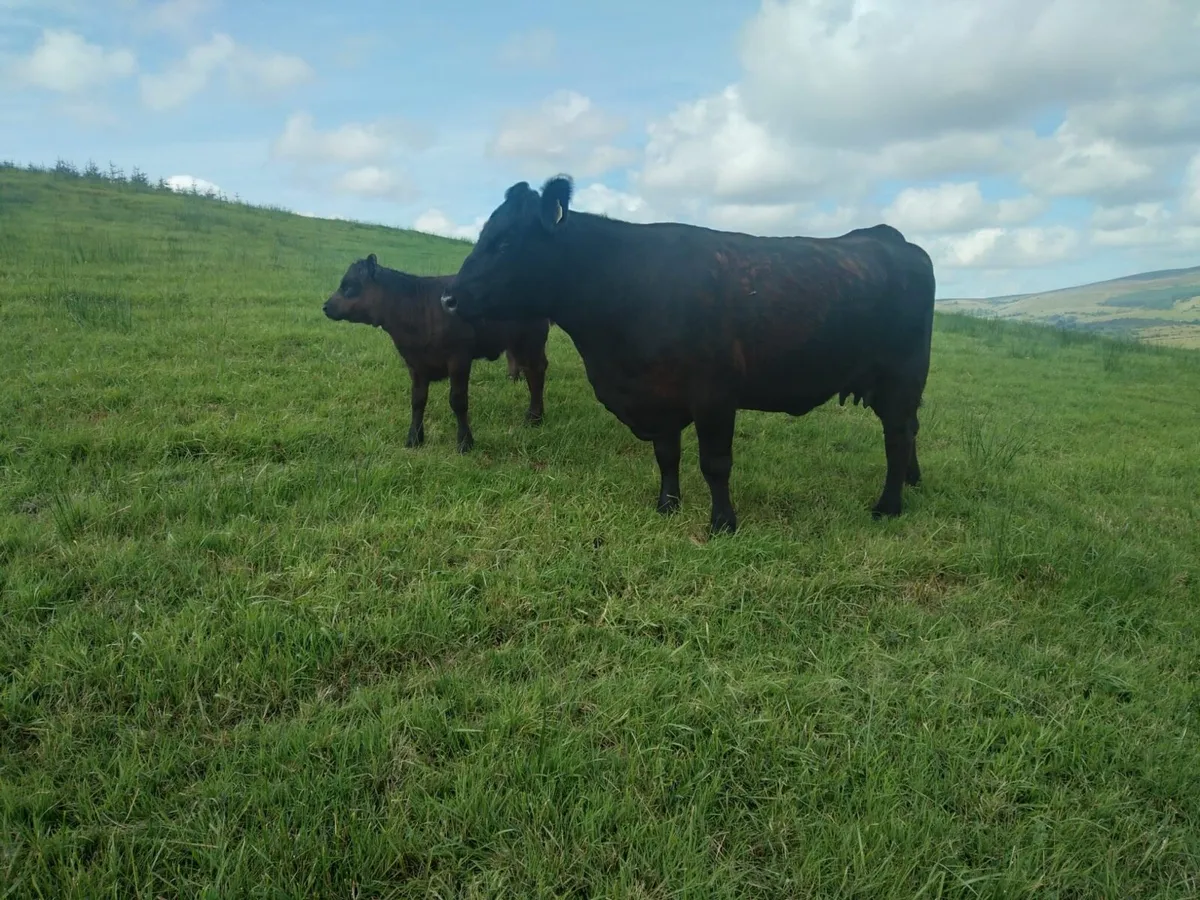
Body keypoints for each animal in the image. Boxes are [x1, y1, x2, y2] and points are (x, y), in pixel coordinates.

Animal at [323, 253, 550, 453]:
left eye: (349, 286)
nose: (325, 306)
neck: (417, 309)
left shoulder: (459, 359)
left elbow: (458, 401)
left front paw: (465, 442)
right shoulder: (415, 364)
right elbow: (417, 401)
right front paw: (414, 438)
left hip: (531, 341)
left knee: (536, 372)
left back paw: (534, 417)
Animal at [438, 175, 936, 534]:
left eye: (505, 242)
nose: (448, 298)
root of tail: (890, 237)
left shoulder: (714, 396)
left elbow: (714, 464)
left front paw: (722, 524)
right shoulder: (659, 397)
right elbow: (667, 455)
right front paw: (667, 505)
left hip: (901, 377)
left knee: (897, 436)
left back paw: (888, 506)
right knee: (910, 431)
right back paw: (913, 482)